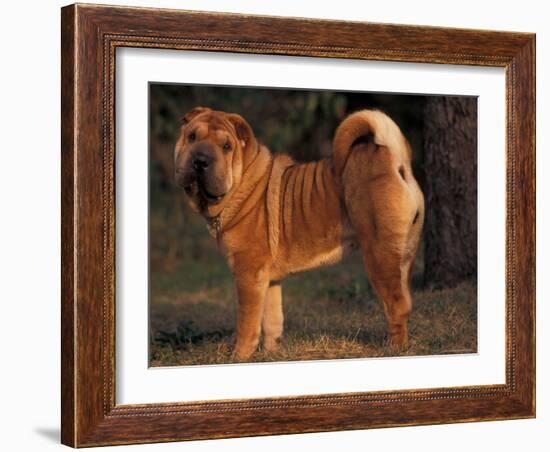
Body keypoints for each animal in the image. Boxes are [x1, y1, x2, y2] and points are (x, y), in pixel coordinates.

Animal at [175, 107, 424, 360]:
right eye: (192, 137)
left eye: (226, 146)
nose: (200, 161)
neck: (241, 183)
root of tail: (395, 158)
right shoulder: (269, 280)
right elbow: (272, 319)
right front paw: (271, 352)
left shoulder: (248, 275)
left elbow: (247, 322)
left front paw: (239, 357)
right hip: (405, 254)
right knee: (407, 300)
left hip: (379, 255)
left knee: (396, 305)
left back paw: (394, 349)